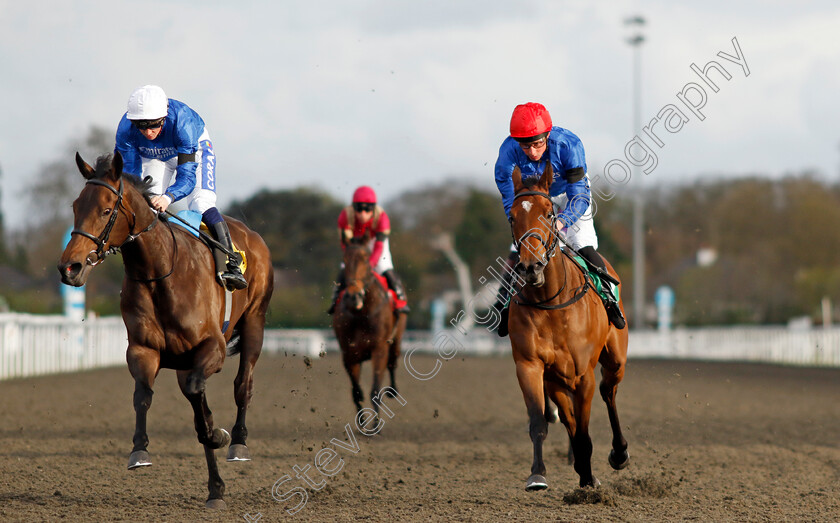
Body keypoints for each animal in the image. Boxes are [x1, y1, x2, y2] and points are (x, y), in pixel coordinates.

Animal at [60, 154, 276, 510]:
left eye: (106, 209)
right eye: (76, 206)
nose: (70, 267)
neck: (161, 272)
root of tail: (252, 234)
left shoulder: (212, 347)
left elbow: (202, 403)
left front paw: (220, 436)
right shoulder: (144, 350)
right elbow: (145, 397)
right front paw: (139, 451)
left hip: (255, 322)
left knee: (243, 384)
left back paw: (237, 443)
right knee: (199, 403)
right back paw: (215, 486)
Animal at [330, 241, 406, 418]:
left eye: (366, 260)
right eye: (345, 260)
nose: (354, 296)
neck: (362, 314)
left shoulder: (380, 349)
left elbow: (375, 391)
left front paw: (375, 423)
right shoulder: (349, 354)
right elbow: (356, 392)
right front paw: (362, 420)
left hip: (396, 339)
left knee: (393, 362)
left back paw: (392, 391)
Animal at [506, 164, 632, 492]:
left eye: (549, 213)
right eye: (512, 216)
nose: (531, 266)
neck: (551, 302)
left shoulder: (583, 373)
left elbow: (585, 432)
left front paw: (587, 480)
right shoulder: (531, 366)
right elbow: (540, 421)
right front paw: (538, 475)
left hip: (615, 359)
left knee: (608, 392)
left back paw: (619, 453)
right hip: (558, 381)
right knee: (569, 418)